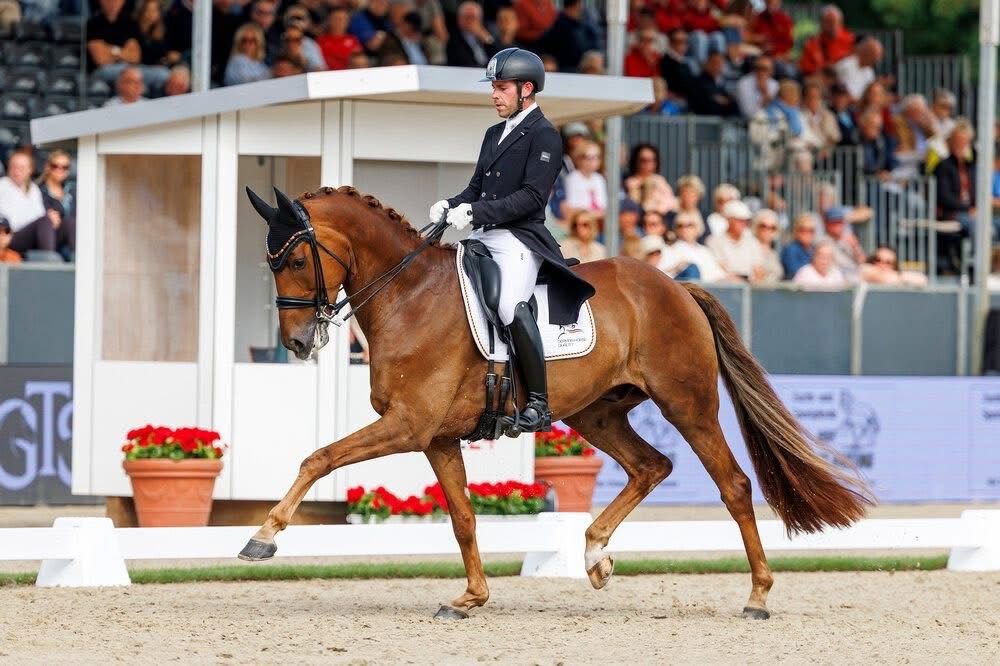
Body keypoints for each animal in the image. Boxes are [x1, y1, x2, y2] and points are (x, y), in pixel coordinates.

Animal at [239, 184, 873, 620]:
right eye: (271, 263)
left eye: (297, 260)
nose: (298, 343)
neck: (408, 294)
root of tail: (675, 285)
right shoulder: (437, 437)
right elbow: (463, 518)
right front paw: (471, 597)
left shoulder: (408, 426)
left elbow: (318, 457)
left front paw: (263, 537)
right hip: (597, 413)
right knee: (652, 466)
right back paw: (594, 556)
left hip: (687, 406)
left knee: (734, 486)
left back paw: (758, 595)